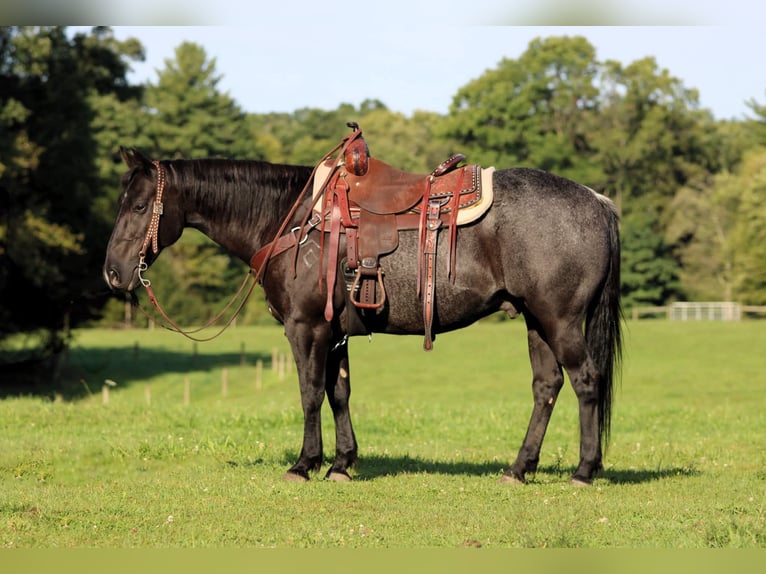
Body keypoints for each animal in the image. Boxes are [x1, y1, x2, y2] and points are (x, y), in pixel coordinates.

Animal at [103, 138, 622, 486]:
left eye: (140, 204)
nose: (113, 272)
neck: (295, 220)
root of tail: (595, 200)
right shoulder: (334, 332)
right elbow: (339, 393)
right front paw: (341, 463)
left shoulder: (306, 329)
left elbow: (310, 394)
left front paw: (304, 464)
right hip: (537, 321)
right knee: (547, 387)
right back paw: (519, 468)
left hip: (559, 320)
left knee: (585, 381)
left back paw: (584, 470)